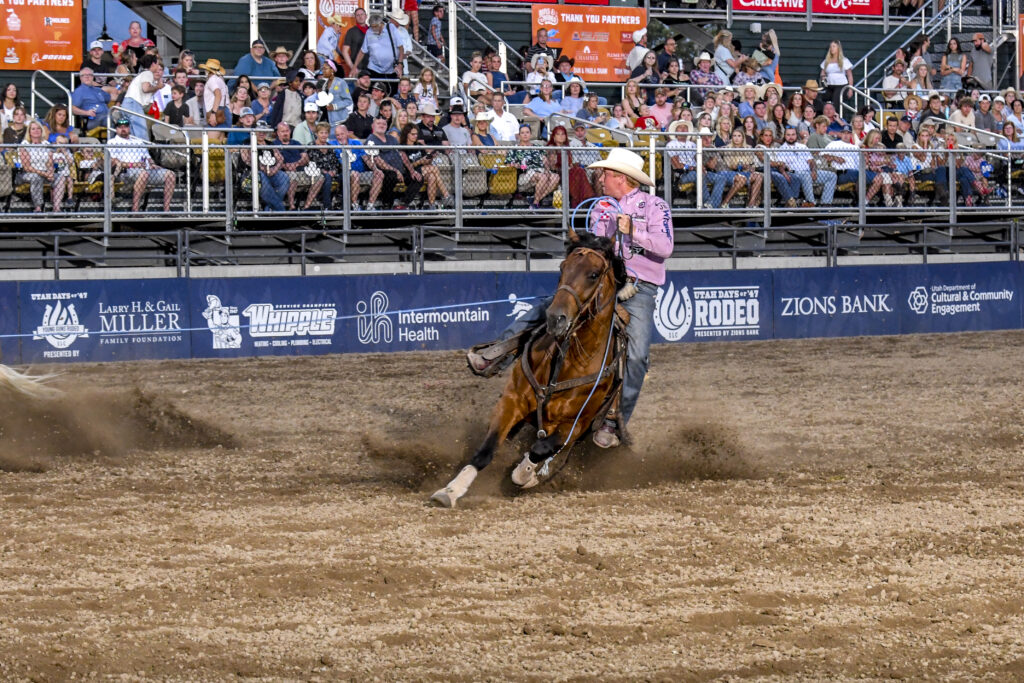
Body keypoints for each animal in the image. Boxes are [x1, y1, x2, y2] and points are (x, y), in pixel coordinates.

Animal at [431, 228, 630, 508]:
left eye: (593, 275)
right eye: (562, 267)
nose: (555, 318)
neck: (568, 364)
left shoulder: (576, 425)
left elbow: (541, 449)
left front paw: (525, 474)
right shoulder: (511, 402)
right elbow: (485, 451)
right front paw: (451, 490)